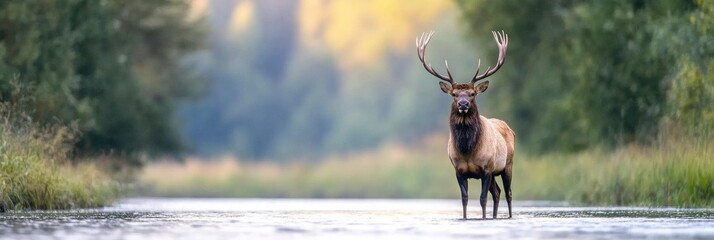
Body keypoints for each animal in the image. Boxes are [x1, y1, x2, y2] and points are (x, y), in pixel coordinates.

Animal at [414, 31, 516, 218]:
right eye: (454, 94)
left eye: (472, 93)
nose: (463, 104)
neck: (467, 149)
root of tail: (509, 128)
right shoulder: (458, 170)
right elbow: (465, 199)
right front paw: (465, 217)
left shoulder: (487, 168)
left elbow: (482, 199)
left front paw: (483, 218)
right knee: (497, 192)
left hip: (507, 164)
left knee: (508, 193)